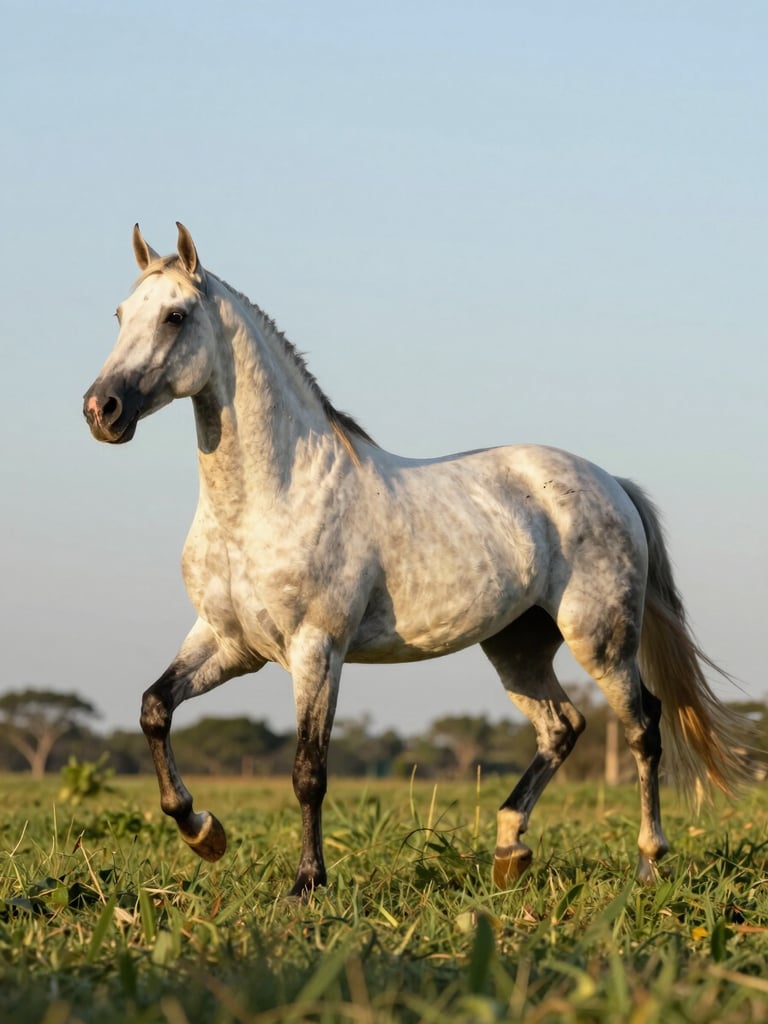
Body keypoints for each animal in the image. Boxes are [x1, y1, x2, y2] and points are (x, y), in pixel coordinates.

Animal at [83, 223, 751, 896]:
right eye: (119, 314)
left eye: (175, 315)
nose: (101, 410)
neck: (270, 498)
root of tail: (612, 482)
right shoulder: (229, 642)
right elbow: (154, 710)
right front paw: (204, 833)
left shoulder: (317, 648)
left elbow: (308, 771)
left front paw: (307, 884)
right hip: (518, 647)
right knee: (562, 726)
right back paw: (509, 850)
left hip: (601, 640)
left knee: (644, 727)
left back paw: (648, 862)